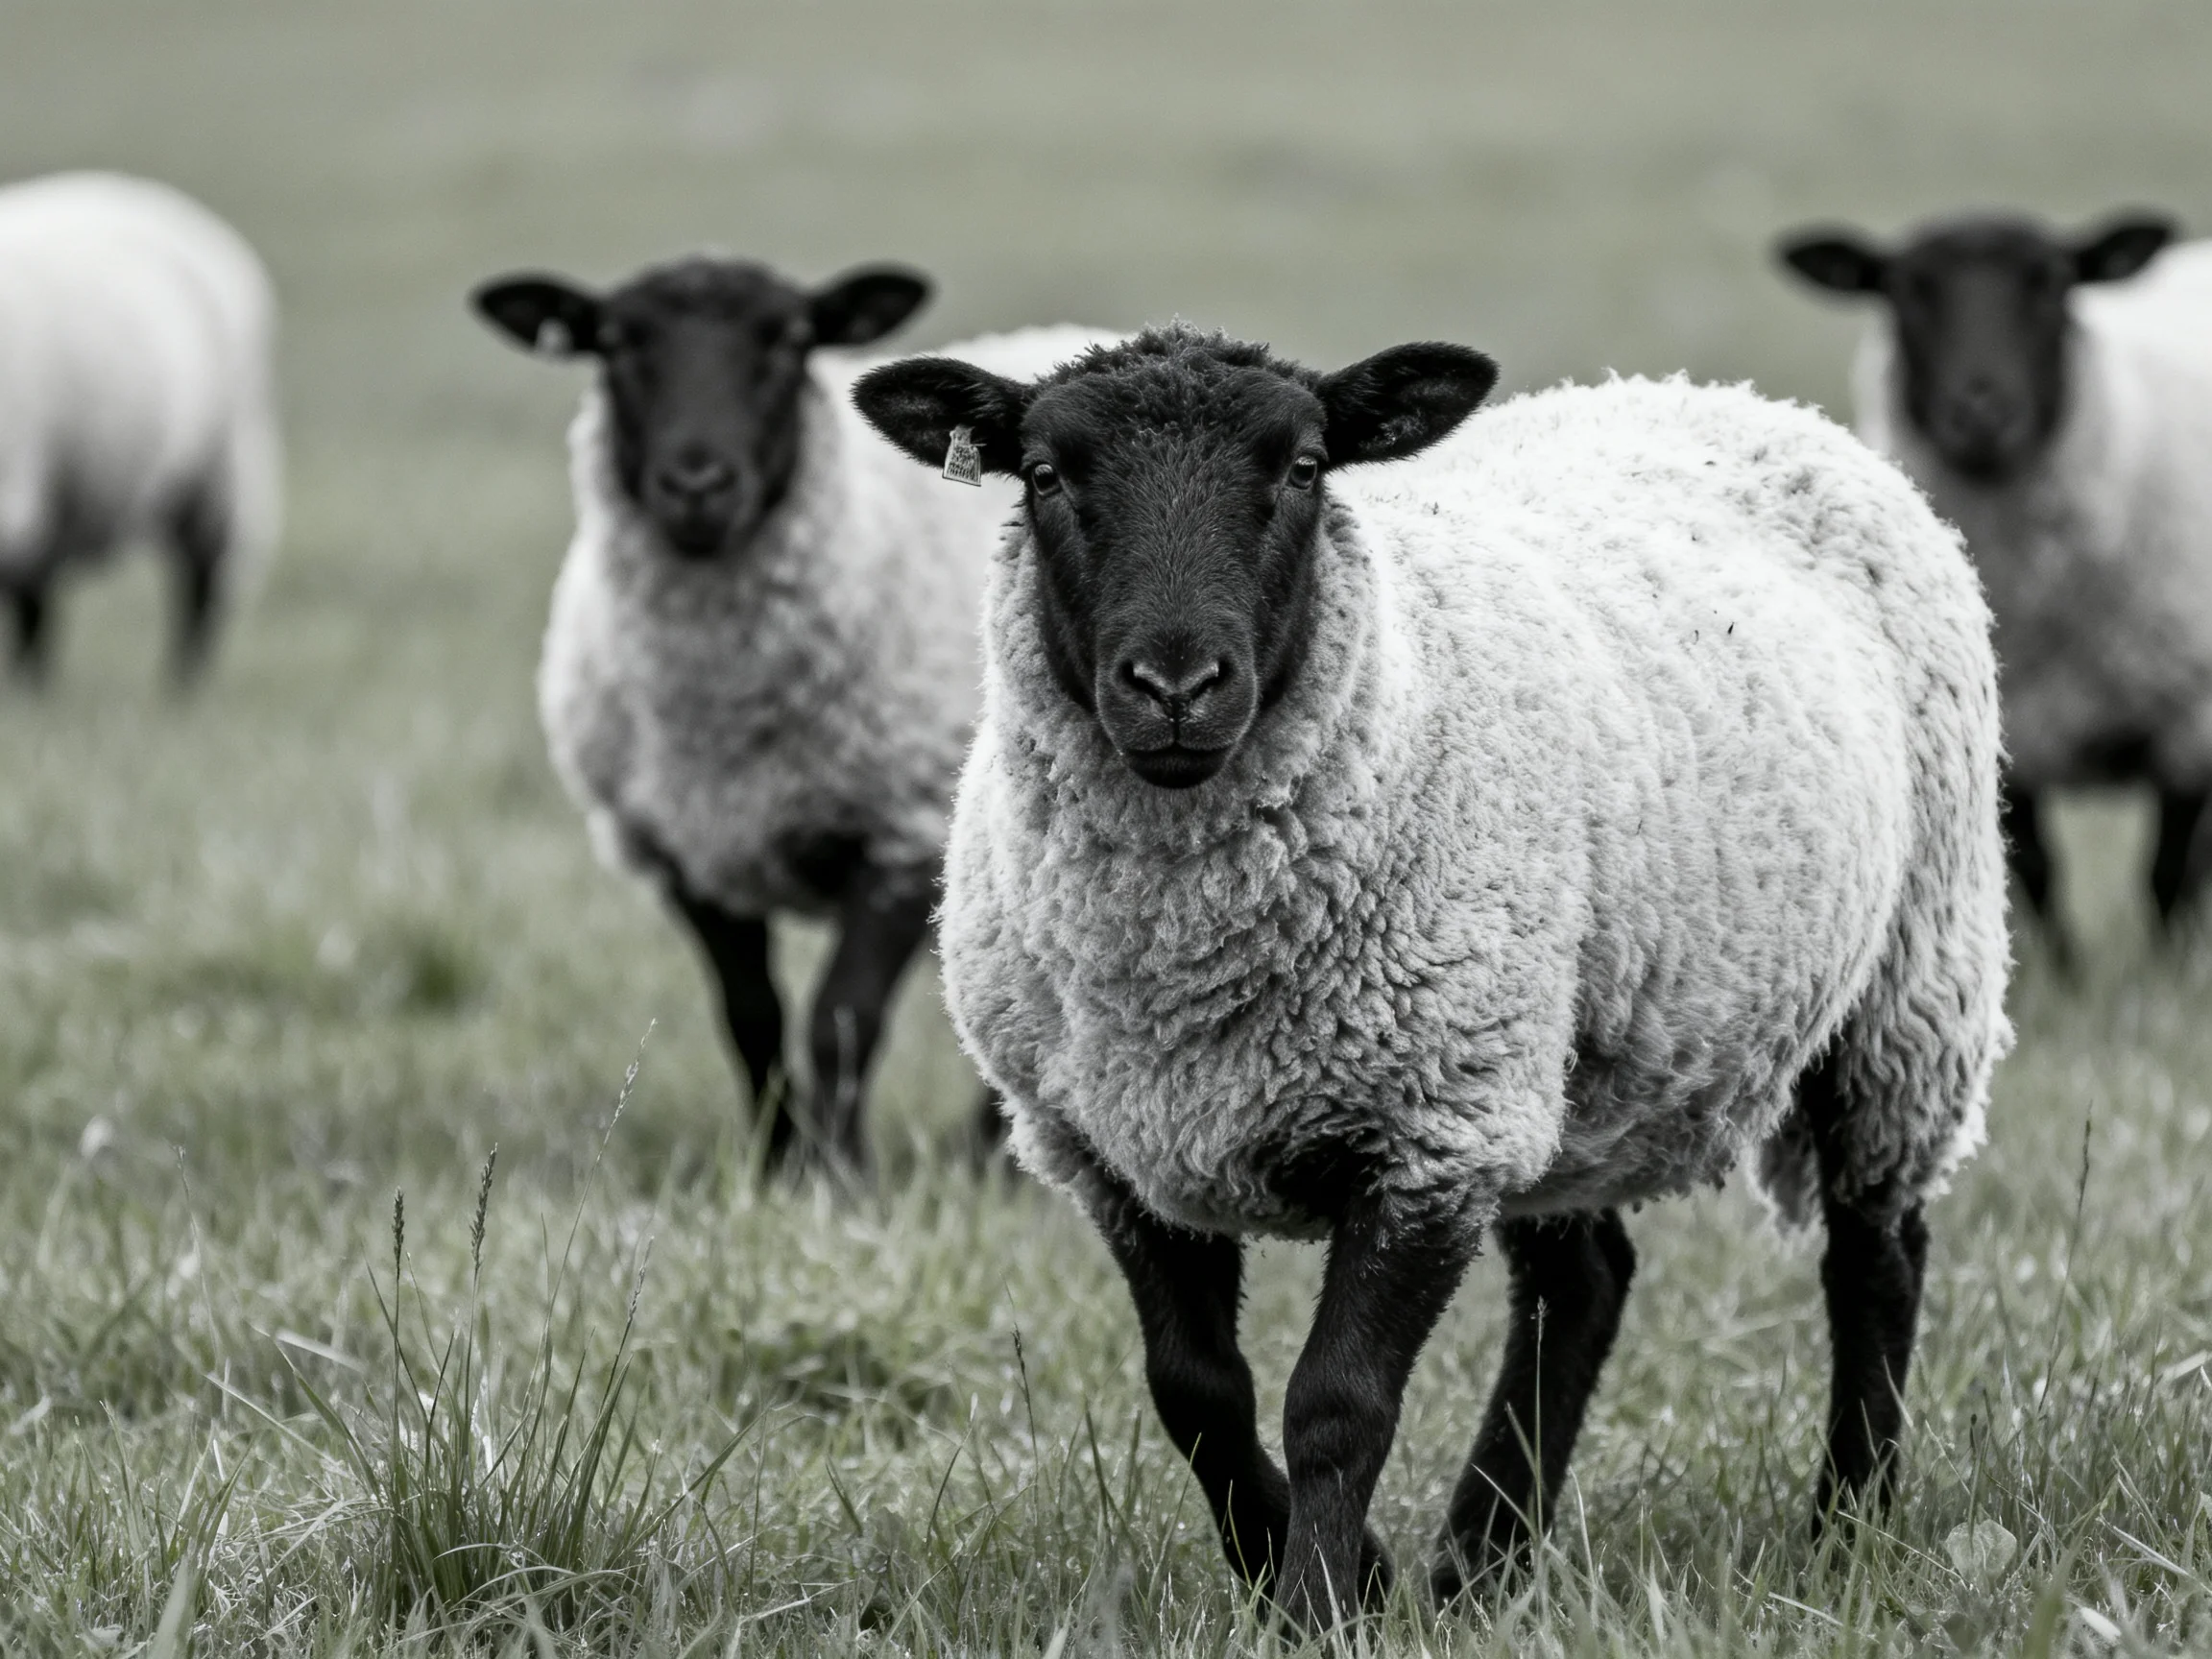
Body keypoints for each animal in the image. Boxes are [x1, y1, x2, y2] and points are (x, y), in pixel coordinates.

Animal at [472, 253, 1104, 1175]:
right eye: (615, 343)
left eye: (791, 341)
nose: (698, 485)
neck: (726, 722)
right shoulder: (691, 855)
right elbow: (751, 1019)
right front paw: (774, 1167)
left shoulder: (902, 833)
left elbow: (841, 1020)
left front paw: (843, 1177)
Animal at [854, 326, 2011, 1628]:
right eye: (1045, 475)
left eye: (1305, 467)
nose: (1176, 686)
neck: (1186, 972)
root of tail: (1735, 398)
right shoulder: (1105, 1152)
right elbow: (1196, 1393)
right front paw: (1329, 1572)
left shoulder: (1429, 1135)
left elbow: (1337, 1406)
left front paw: (1318, 1606)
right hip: (1560, 1050)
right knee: (1584, 1281)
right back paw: (1481, 1563)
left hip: (1910, 979)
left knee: (1875, 1255)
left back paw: (1845, 1532)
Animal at [1778, 211, 2212, 949]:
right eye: (1905, 288)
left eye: (2051, 281)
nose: (1981, 410)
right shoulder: (2010, 739)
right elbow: (2038, 874)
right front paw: (2064, 969)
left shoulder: (2188, 723)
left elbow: (2168, 876)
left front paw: (2172, 960)